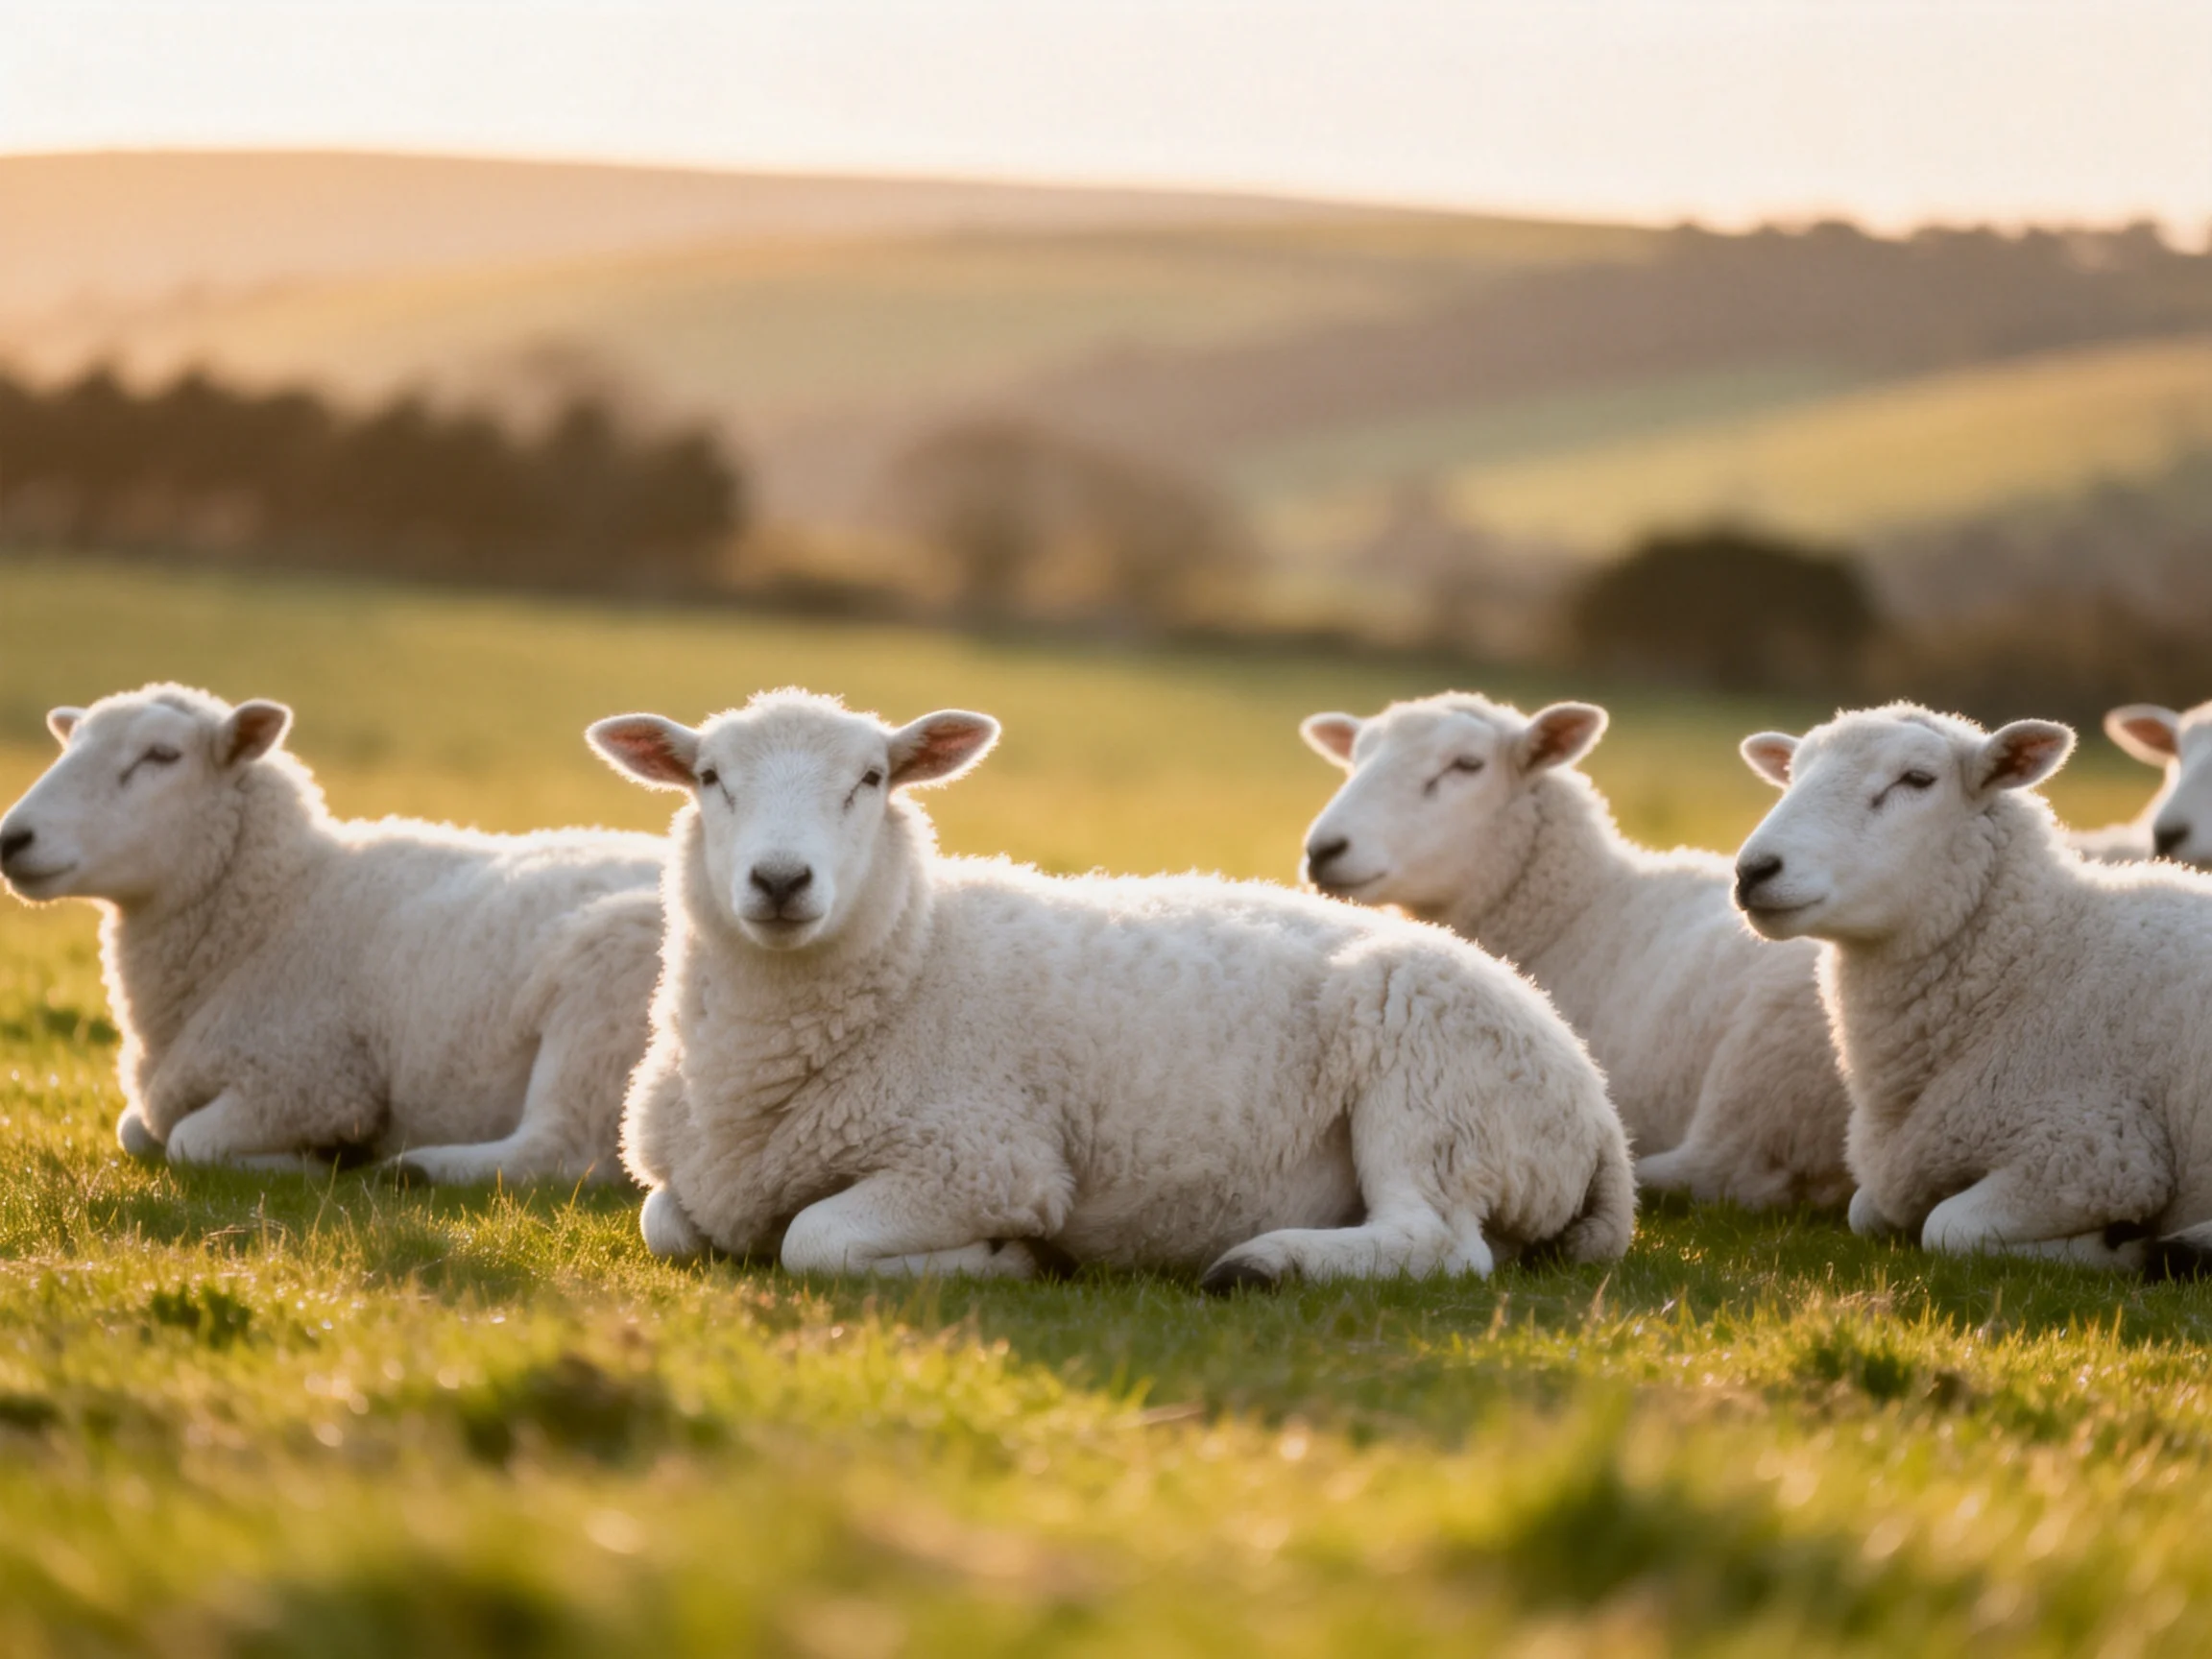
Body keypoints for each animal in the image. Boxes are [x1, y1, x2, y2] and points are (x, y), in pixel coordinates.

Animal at [0, 683, 662, 1183]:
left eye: (162, 755)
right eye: (71, 745)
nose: (12, 837)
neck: (282, 904)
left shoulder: (311, 1082)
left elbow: (190, 1142)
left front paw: (317, 1161)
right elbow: (135, 1129)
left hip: (603, 1004)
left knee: (565, 1151)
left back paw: (414, 1169)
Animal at [586, 688, 1632, 1287]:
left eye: (873, 778)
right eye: (708, 777)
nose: (780, 880)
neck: (915, 960)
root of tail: (1594, 1098)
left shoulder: (984, 1160)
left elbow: (815, 1240)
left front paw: (997, 1259)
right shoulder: (691, 1183)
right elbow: (663, 1222)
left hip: (1437, 1087)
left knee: (1442, 1245)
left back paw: (1264, 1263)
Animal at [1298, 692, 1851, 1210]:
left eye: (1467, 764)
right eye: (1356, 758)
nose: (1323, 850)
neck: (1571, 910)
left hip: (1759, 1079)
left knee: (1721, 1173)